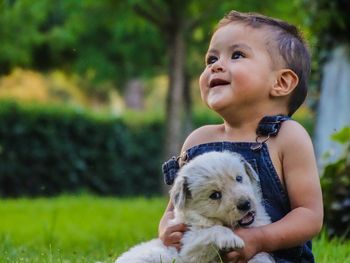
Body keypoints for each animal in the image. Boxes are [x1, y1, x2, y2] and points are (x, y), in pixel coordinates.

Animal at [116, 152, 274, 262]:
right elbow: (213, 231)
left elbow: (260, 255)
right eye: (215, 195)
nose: (245, 204)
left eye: (239, 178)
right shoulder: (189, 248)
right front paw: (230, 239)